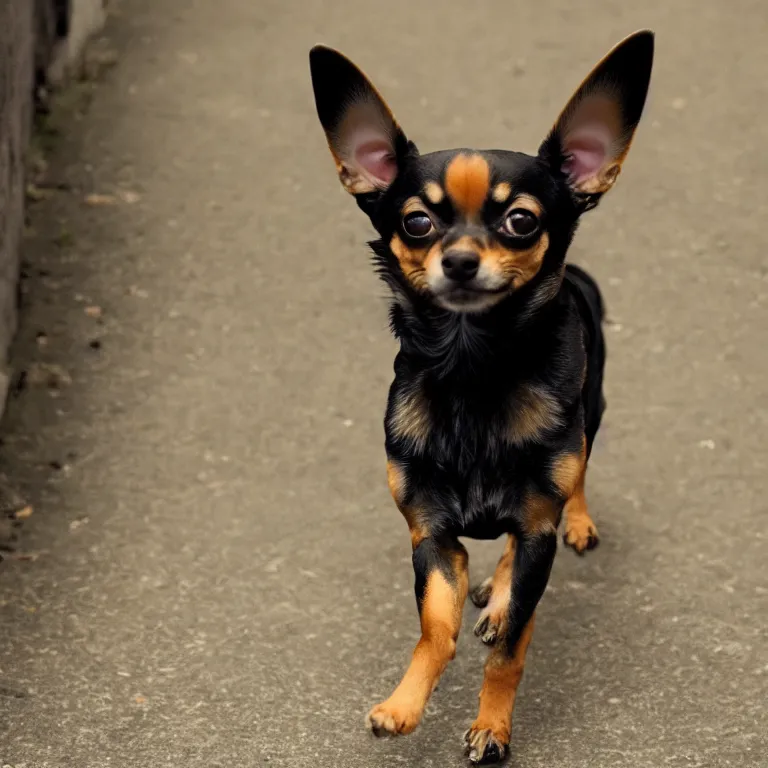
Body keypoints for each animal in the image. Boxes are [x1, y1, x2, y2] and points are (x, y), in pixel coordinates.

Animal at [310, 31, 656, 760]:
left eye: (521, 221)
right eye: (416, 222)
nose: (461, 260)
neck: (471, 371)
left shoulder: (533, 525)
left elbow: (513, 648)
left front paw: (492, 726)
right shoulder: (433, 537)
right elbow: (433, 629)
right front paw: (404, 704)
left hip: (590, 416)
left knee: (573, 480)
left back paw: (558, 541)